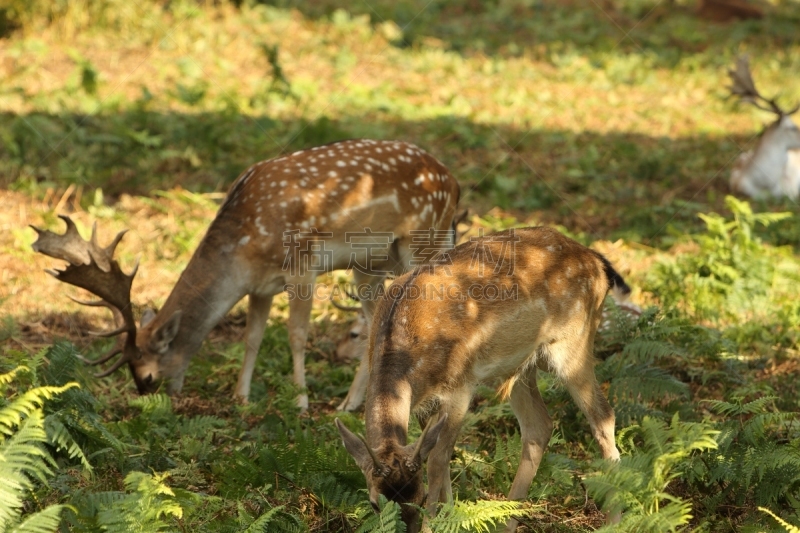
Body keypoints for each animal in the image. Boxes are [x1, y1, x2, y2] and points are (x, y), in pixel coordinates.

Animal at [31, 138, 462, 412]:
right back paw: (350, 404)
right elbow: (252, 337)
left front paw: (300, 401)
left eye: (148, 375)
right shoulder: (260, 286)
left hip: (421, 243)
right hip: (369, 265)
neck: (244, 248)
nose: (153, 400)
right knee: (377, 322)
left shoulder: (301, 265)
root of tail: (454, 184)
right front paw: (241, 397)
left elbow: (296, 336)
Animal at [334, 225, 628, 532]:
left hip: (575, 343)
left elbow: (438, 459)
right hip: (522, 365)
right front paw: (451, 515)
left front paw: (437, 522)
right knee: (539, 426)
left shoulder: (461, 384)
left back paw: (615, 521)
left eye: (421, 496)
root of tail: (598, 263)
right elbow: (440, 455)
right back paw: (508, 521)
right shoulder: (423, 403)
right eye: (374, 503)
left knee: (603, 416)